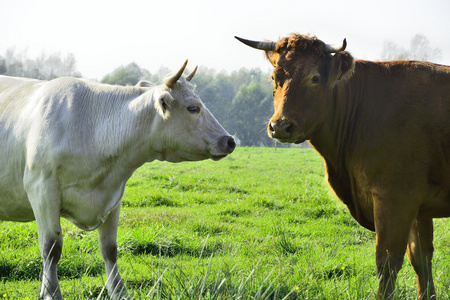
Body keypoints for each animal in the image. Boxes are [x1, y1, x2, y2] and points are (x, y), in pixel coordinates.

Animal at [0, 59, 236, 298]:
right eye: (193, 108)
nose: (229, 140)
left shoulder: (113, 194)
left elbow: (110, 249)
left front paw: (119, 292)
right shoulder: (42, 191)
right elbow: (51, 248)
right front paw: (51, 292)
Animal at [236, 33, 450, 300]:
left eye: (315, 77)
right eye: (275, 78)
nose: (280, 126)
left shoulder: (397, 198)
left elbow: (388, 262)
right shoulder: (419, 207)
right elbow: (421, 259)